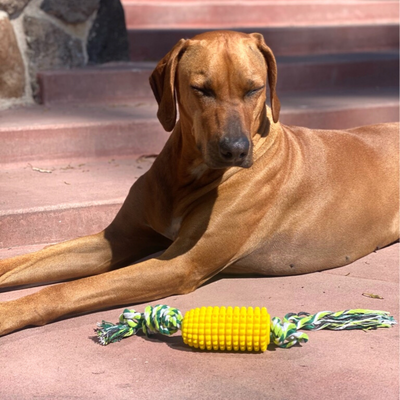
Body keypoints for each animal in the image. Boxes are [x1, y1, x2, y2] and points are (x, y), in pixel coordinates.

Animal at [0, 32, 398, 338]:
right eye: (201, 89)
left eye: (254, 89)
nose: (235, 149)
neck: (186, 175)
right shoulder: (116, 239)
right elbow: (32, 260)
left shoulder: (179, 264)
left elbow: (66, 289)